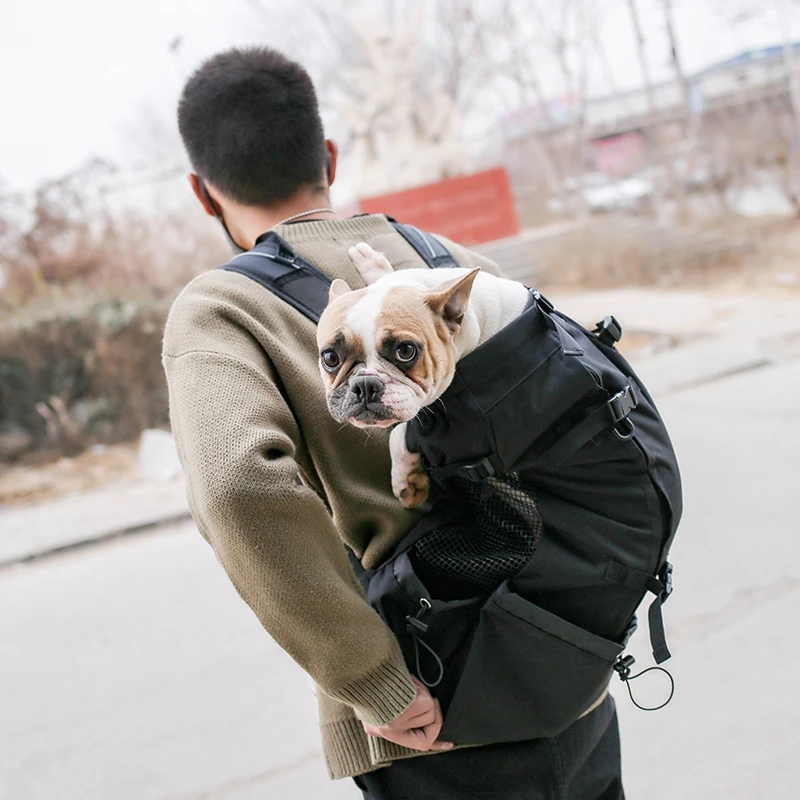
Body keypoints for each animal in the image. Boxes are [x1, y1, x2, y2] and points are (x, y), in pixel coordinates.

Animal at [316, 241, 528, 510]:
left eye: (406, 351)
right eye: (330, 357)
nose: (365, 385)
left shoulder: (465, 431)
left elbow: (400, 432)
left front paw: (406, 480)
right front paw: (373, 263)